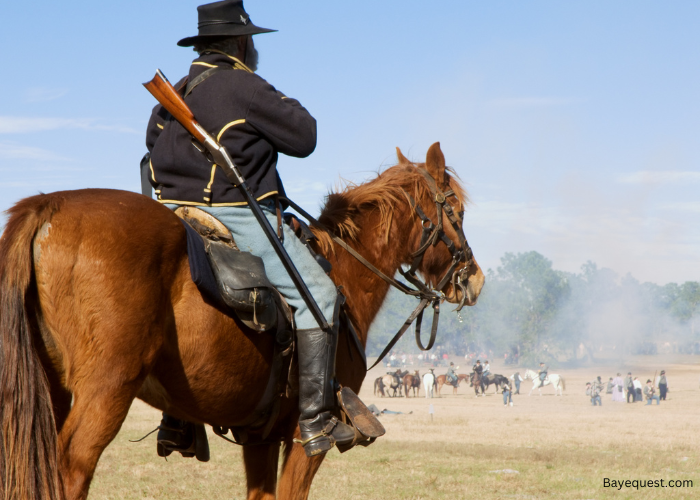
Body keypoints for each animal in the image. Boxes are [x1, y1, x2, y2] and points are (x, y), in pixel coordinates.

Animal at [0, 142, 482, 500]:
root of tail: (48, 205)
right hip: (107, 390)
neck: (343, 272)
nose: (473, 278)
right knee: (69, 470)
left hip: (51, 391)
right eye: (456, 211)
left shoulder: (260, 439)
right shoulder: (307, 441)